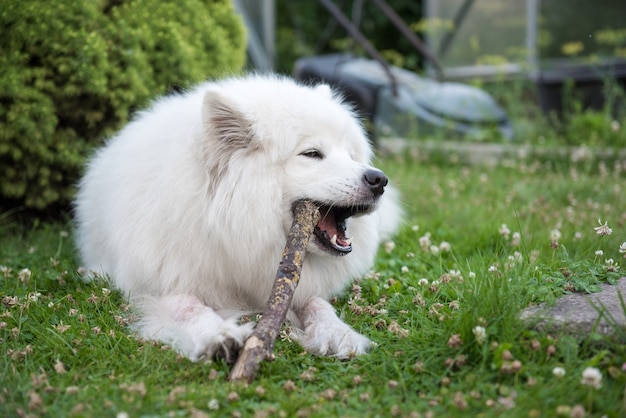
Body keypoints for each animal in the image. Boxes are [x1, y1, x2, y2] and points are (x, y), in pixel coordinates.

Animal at [74, 75, 400, 362]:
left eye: (351, 155)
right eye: (312, 154)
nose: (379, 179)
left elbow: (317, 303)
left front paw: (336, 333)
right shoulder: (159, 282)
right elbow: (188, 306)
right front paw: (218, 335)